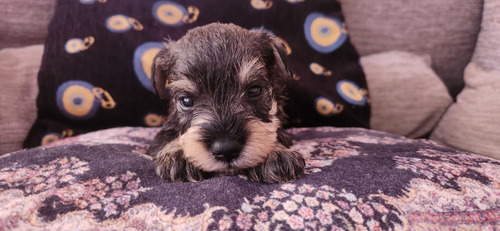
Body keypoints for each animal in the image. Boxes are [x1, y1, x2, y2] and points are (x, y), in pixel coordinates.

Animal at [146, 23, 306, 182]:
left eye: (255, 90)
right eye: (186, 101)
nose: (226, 150)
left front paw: (275, 153)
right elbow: (168, 136)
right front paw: (178, 153)